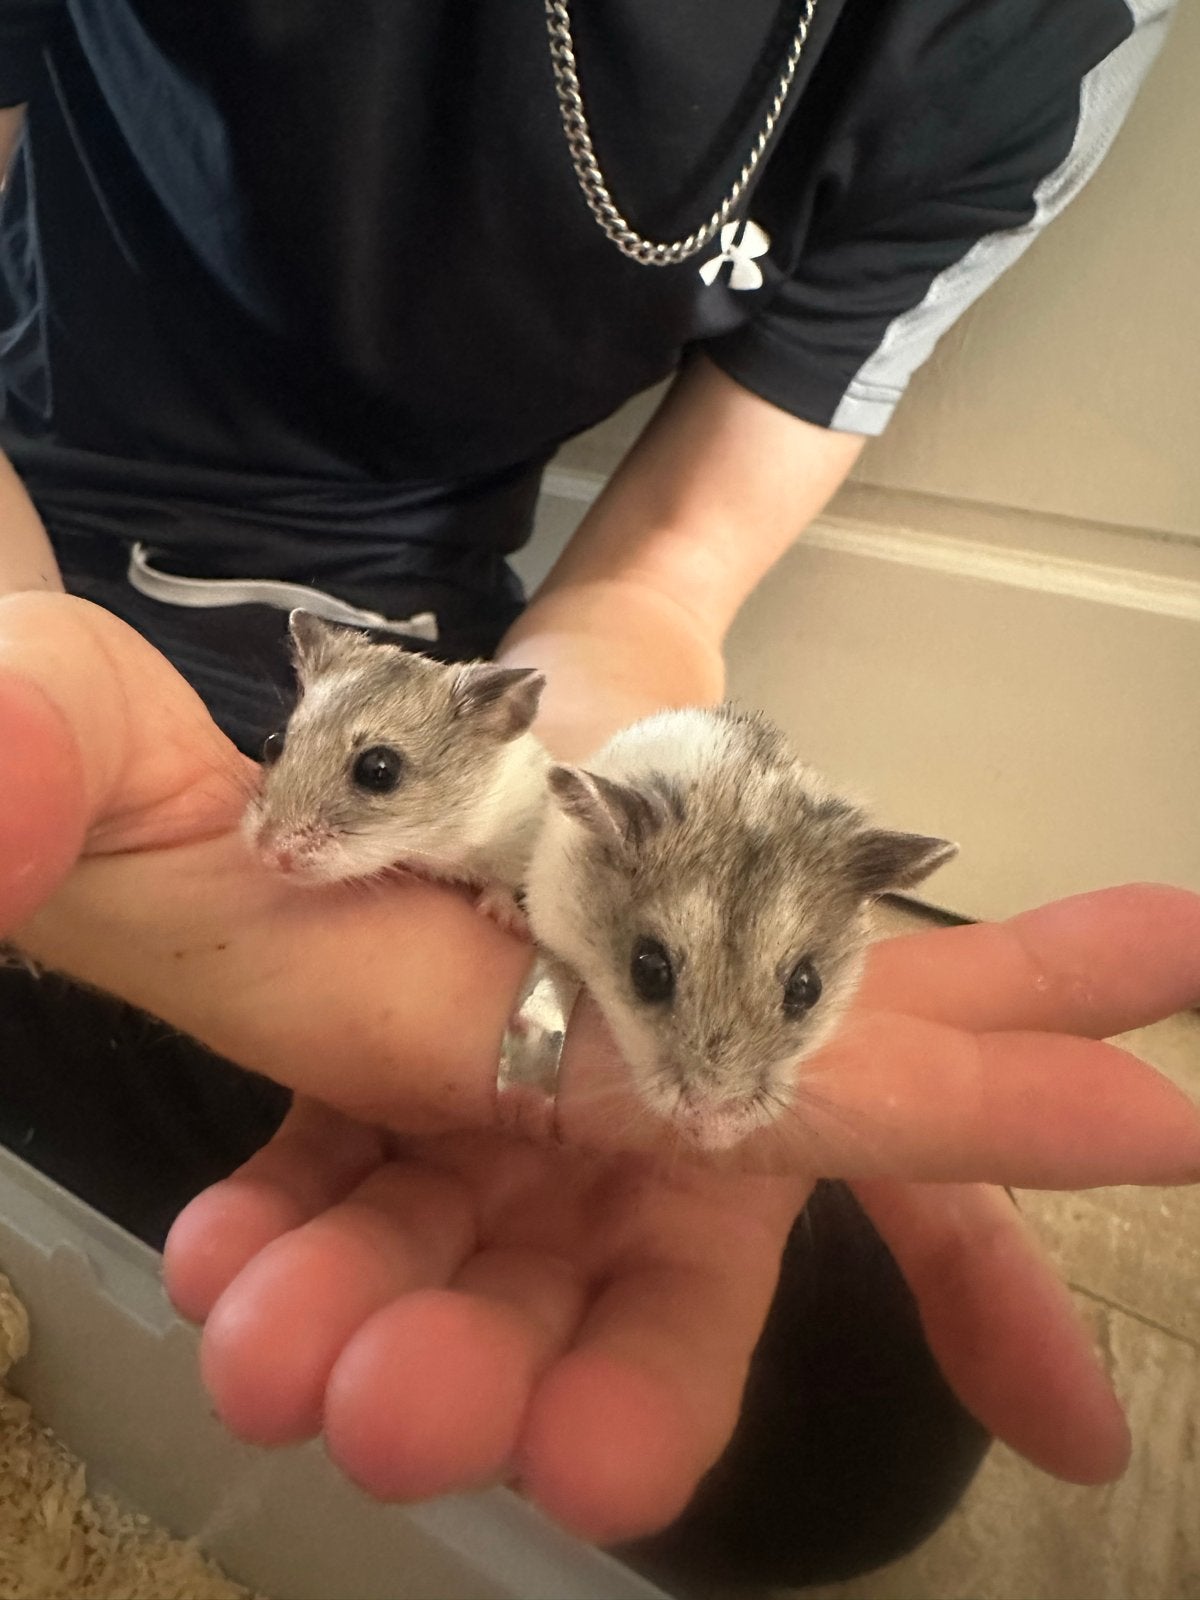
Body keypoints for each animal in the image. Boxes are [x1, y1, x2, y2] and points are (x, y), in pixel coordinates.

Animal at [243, 611, 549, 929]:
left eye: (379, 770)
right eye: (273, 743)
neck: (442, 837)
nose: (268, 857)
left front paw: (505, 917)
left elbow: (503, 884)